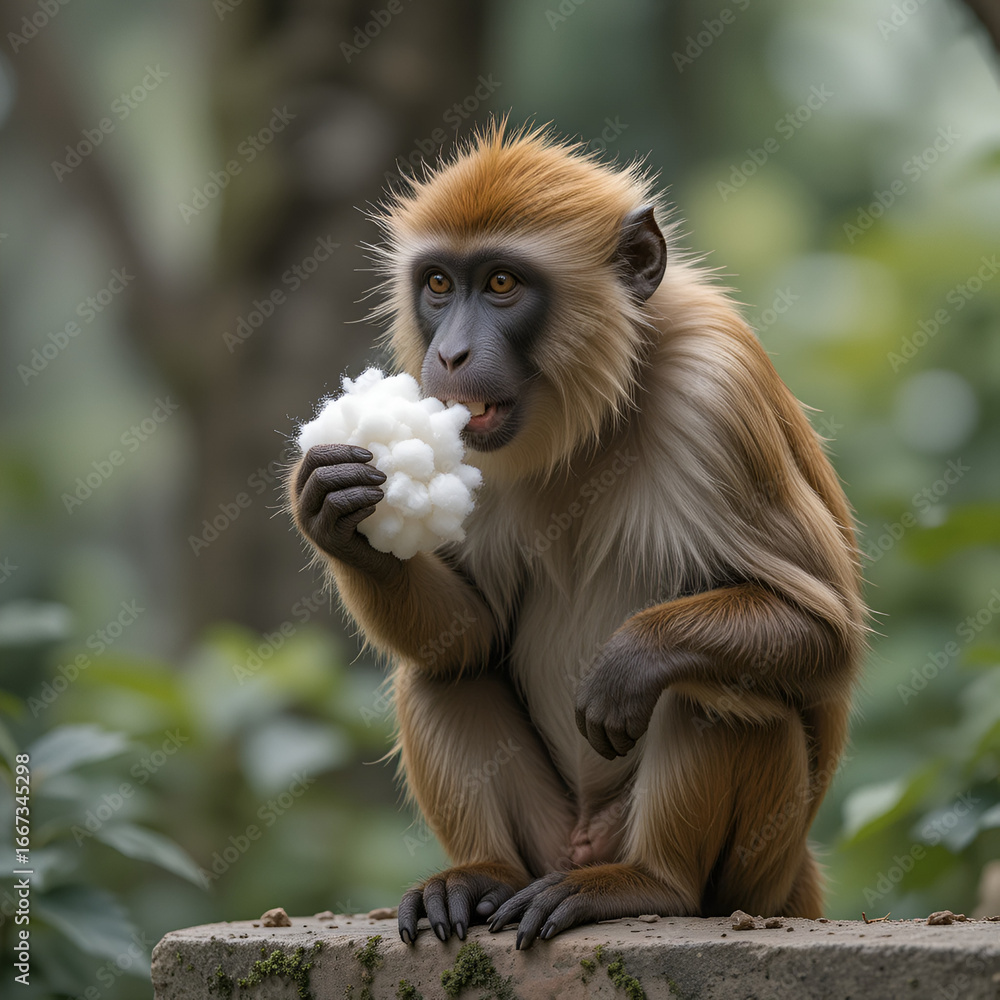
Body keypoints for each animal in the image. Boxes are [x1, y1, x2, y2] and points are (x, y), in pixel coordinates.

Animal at [289, 121, 866, 949]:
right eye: (440, 286)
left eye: (501, 284)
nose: (450, 355)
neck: (592, 416)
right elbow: (472, 638)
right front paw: (339, 519)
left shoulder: (717, 388)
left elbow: (827, 636)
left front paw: (631, 658)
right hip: (550, 838)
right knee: (441, 674)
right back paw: (484, 874)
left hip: (750, 868)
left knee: (714, 694)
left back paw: (650, 882)